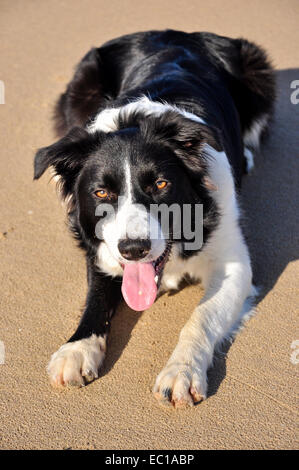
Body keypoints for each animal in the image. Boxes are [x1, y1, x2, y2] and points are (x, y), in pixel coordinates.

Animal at [34, 29, 276, 408]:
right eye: (101, 193)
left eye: (160, 184)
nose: (134, 249)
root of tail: (176, 33)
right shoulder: (100, 250)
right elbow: (94, 299)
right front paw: (76, 348)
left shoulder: (234, 263)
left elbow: (201, 317)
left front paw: (182, 371)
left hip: (257, 69)